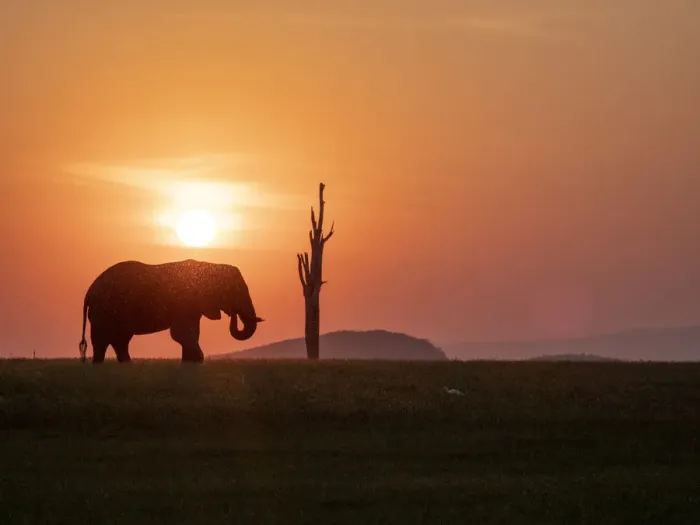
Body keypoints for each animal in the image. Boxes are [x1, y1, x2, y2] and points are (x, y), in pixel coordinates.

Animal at [78, 259, 263, 364]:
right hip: (104, 312)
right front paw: (195, 362)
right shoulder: (184, 301)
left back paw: (126, 365)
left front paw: (193, 363)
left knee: (121, 340)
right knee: (103, 340)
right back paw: (98, 366)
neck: (211, 264)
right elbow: (183, 334)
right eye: (234, 291)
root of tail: (89, 292)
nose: (233, 313)